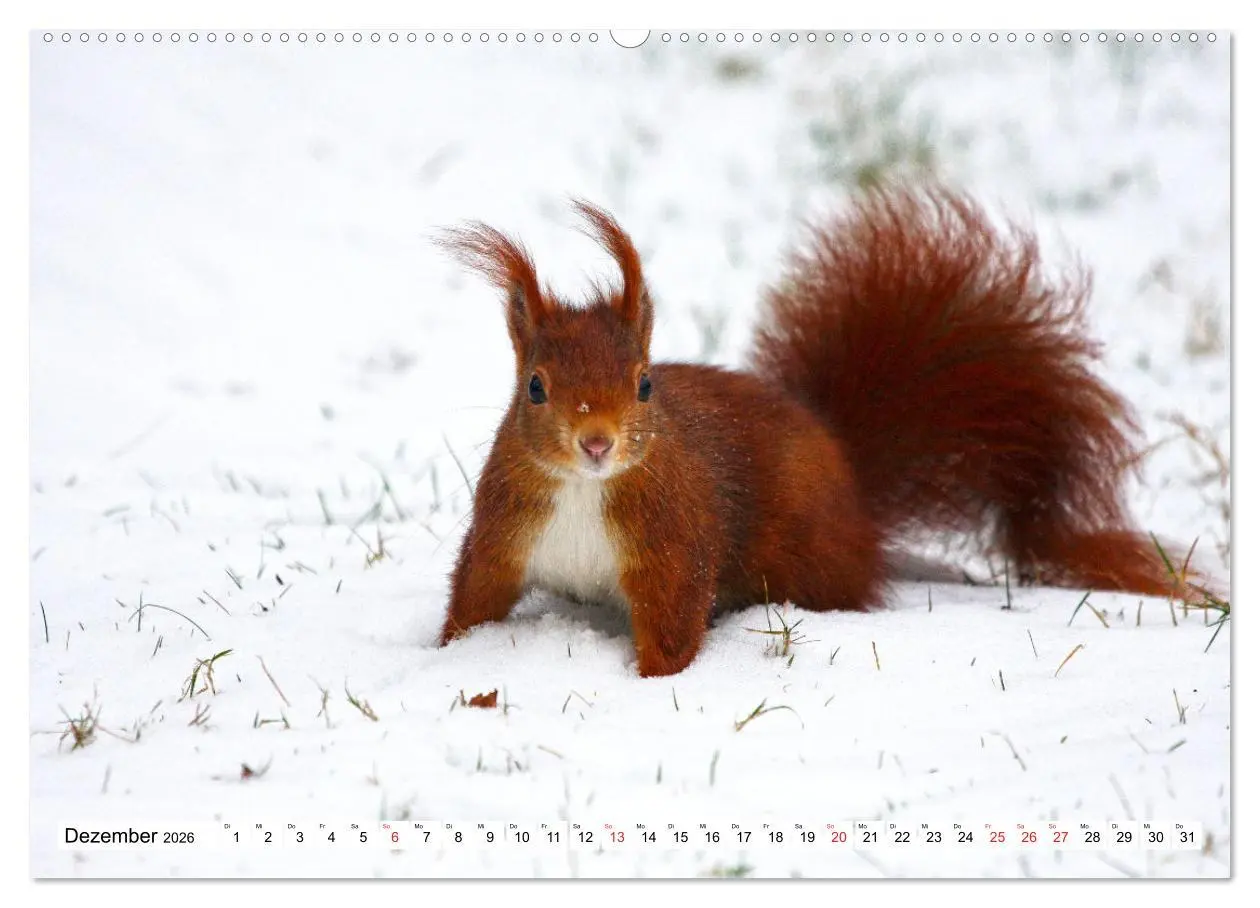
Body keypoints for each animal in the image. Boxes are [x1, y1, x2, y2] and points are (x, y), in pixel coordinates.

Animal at [437, 186, 1198, 678]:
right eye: (535, 388)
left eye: (645, 383)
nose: (597, 443)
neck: (582, 491)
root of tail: (851, 478)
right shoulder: (505, 534)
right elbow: (477, 595)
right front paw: (445, 656)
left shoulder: (672, 545)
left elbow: (674, 621)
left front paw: (652, 685)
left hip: (807, 559)